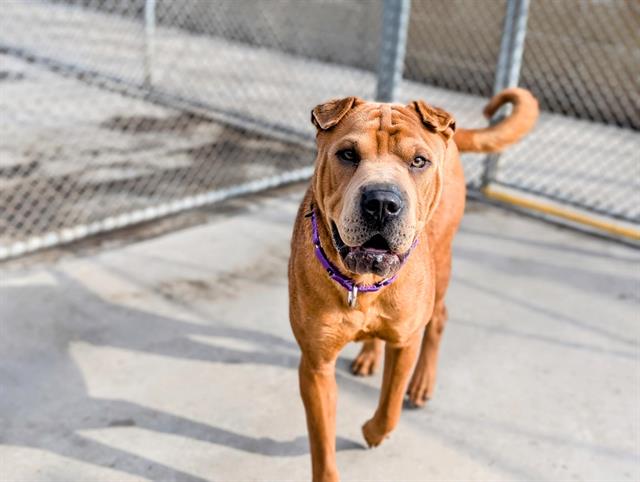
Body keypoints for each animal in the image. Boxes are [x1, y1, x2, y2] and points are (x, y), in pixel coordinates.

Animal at [288, 88, 536, 480]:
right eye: (348, 154)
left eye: (418, 161)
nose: (381, 202)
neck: (362, 284)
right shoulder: (316, 366)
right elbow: (323, 444)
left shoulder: (406, 343)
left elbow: (390, 407)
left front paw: (372, 432)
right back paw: (369, 354)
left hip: (443, 262)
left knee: (440, 318)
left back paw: (421, 383)